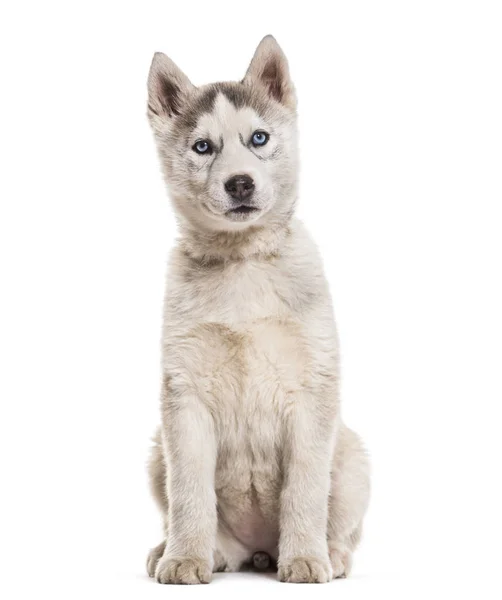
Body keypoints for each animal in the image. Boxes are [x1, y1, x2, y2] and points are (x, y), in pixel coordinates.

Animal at [144, 35, 368, 584]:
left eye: (259, 138)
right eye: (203, 147)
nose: (240, 183)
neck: (241, 260)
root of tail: (257, 550)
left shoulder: (312, 392)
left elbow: (304, 490)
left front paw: (305, 558)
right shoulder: (183, 399)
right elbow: (189, 494)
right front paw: (184, 557)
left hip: (353, 455)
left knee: (339, 521)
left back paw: (327, 553)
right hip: (157, 448)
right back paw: (187, 550)